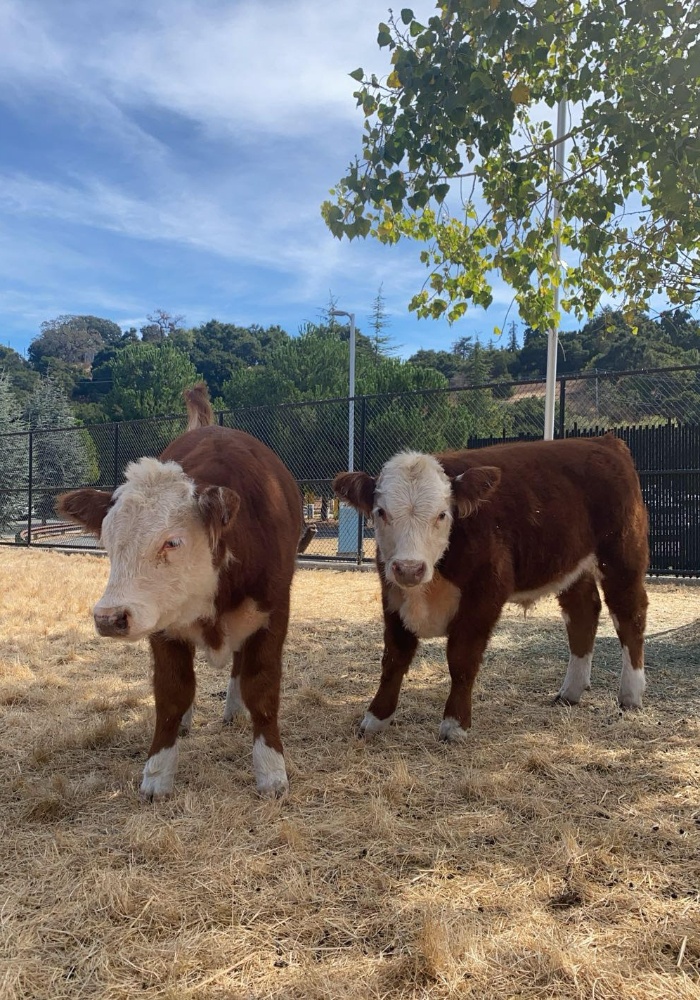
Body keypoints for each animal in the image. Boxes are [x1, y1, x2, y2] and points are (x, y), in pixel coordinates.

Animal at [57, 380, 304, 796]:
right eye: (107, 539)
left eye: (172, 542)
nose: (109, 617)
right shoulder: (161, 625)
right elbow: (172, 693)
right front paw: (157, 774)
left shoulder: (272, 615)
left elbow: (262, 689)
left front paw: (271, 771)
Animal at [334, 436, 652, 744]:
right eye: (381, 512)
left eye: (442, 515)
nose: (410, 568)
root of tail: (604, 441)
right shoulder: (392, 592)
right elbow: (394, 658)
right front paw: (376, 719)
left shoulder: (486, 593)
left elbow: (461, 658)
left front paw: (455, 725)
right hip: (572, 566)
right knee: (583, 613)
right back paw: (570, 693)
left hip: (621, 555)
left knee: (629, 614)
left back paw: (630, 695)